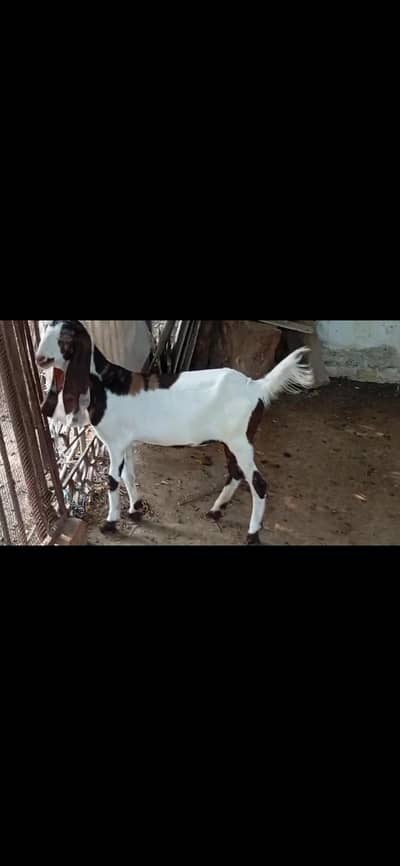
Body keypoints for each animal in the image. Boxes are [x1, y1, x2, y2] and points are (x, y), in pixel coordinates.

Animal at [36, 320, 314, 544]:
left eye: (66, 337)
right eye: (45, 330)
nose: (40, 359)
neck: (105, 383)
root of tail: (256, 387)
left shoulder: (114, 442)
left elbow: (113, 480)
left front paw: (110, 523)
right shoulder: (126, 441)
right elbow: (129, 475)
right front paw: (135, 510)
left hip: (241, 441)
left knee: (258, 483)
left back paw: (252, 534)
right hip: (232, 441)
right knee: (235, 473)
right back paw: (216, 510)